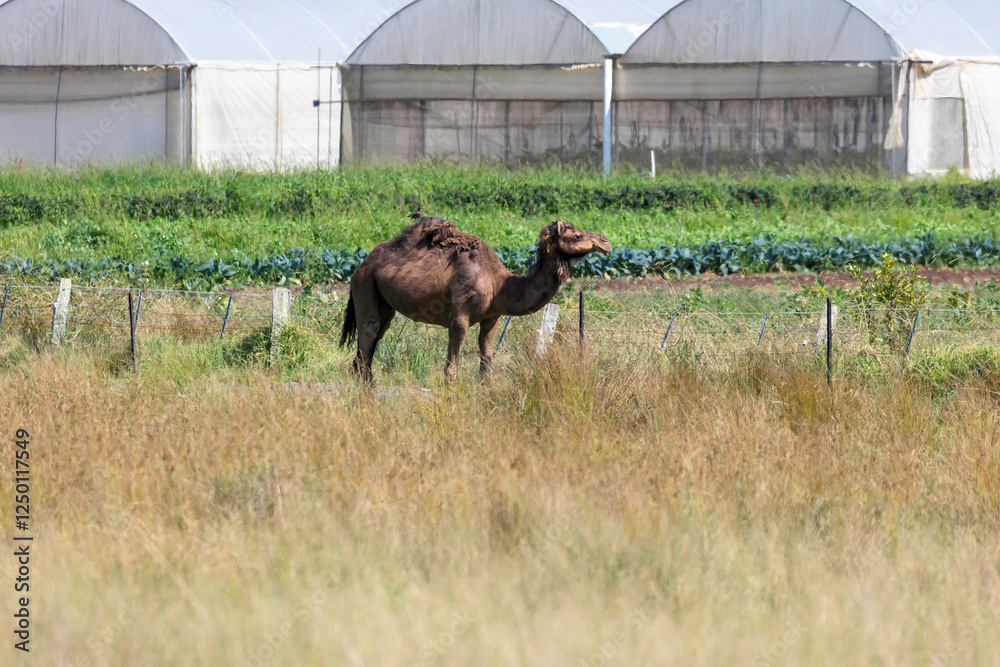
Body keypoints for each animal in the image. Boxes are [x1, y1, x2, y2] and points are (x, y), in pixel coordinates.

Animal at [340, 213, 612, 382]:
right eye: (577, 236)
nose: (606, 242)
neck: (499, 285)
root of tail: (363, 263)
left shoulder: (493, 317)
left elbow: (486, 366)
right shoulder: (459, 317)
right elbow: (451, 370)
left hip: (384, 300)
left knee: (367, 352)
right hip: (364, 284)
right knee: (368, 334)